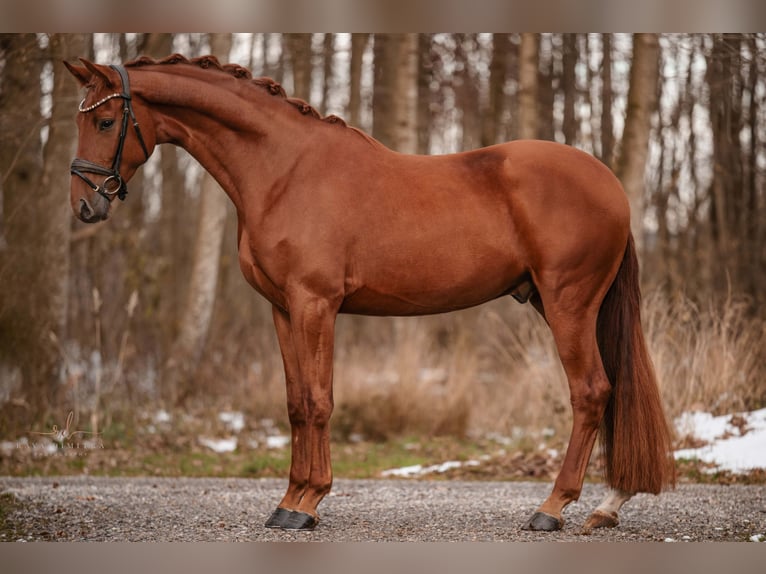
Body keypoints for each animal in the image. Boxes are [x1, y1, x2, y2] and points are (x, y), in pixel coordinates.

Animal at [67, 55, 680, 536]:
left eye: (105, 119)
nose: (85, 206)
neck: (283, 170)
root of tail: (609, 183)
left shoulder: (315, 304)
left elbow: (319, 400)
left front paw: (307, 503)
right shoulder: (283, 309)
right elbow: (295, 403)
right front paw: (291, 500)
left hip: (568, 303)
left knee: (591, 392)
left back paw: (552, 508)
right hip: (568, 306)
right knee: (610, 391)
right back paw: (607, 505)